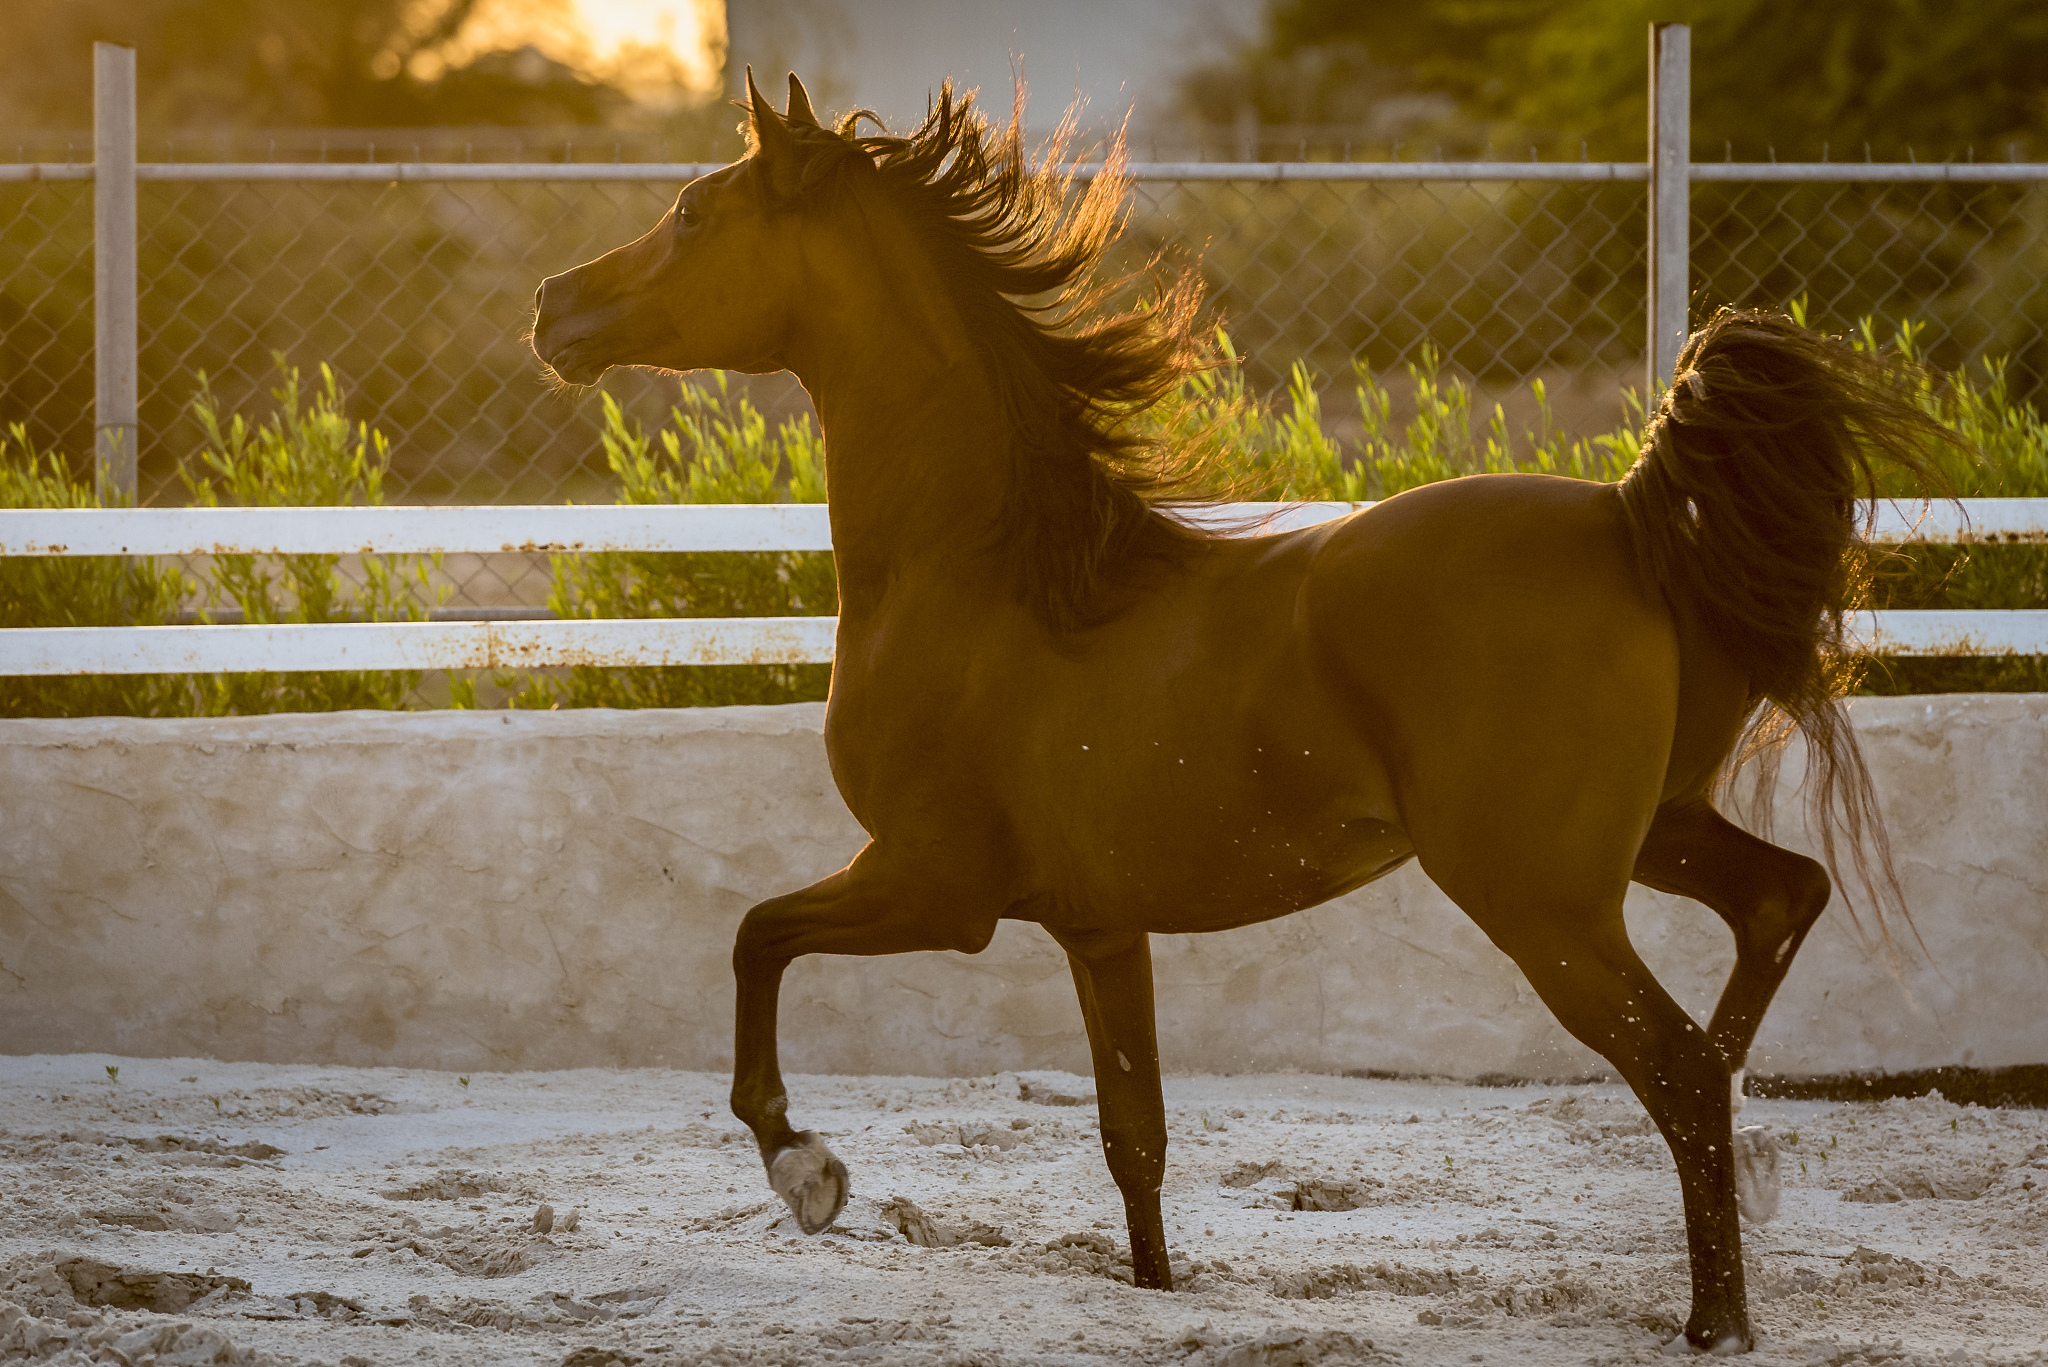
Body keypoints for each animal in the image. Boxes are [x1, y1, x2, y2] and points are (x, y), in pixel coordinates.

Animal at [532, 70, 1955, 1355]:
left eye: (696, 211)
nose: (552, 306)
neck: (988, 572)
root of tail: (1625, 516)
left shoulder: (934, 886)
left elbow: (753, 939)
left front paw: (808, 1171)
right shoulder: (1097, 927)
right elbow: (1134, 1139)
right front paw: (1155, 1292)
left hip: (1539, 899)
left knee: (1679, 1065)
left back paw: (1715, 1317)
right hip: (1651, 831)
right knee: (1775, 910)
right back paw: (1754, 1183)